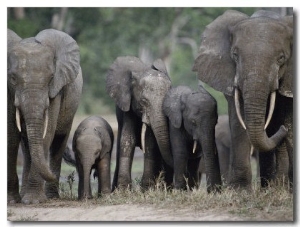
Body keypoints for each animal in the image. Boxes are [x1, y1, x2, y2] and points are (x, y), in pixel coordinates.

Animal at [7, 28, 82, 204]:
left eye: (51, 78)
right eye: (13, 78)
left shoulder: (56, 89)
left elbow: (47, 133)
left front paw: (33, 201)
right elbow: (11, 134)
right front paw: (12, 201)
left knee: (58, 140)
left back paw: (50, 196)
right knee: (27, 144)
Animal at [105, 55, 172, 191]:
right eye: (144, 101)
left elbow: (150, 140)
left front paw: (146, 189)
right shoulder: (128, 105)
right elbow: (127, 139)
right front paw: (123, 190)